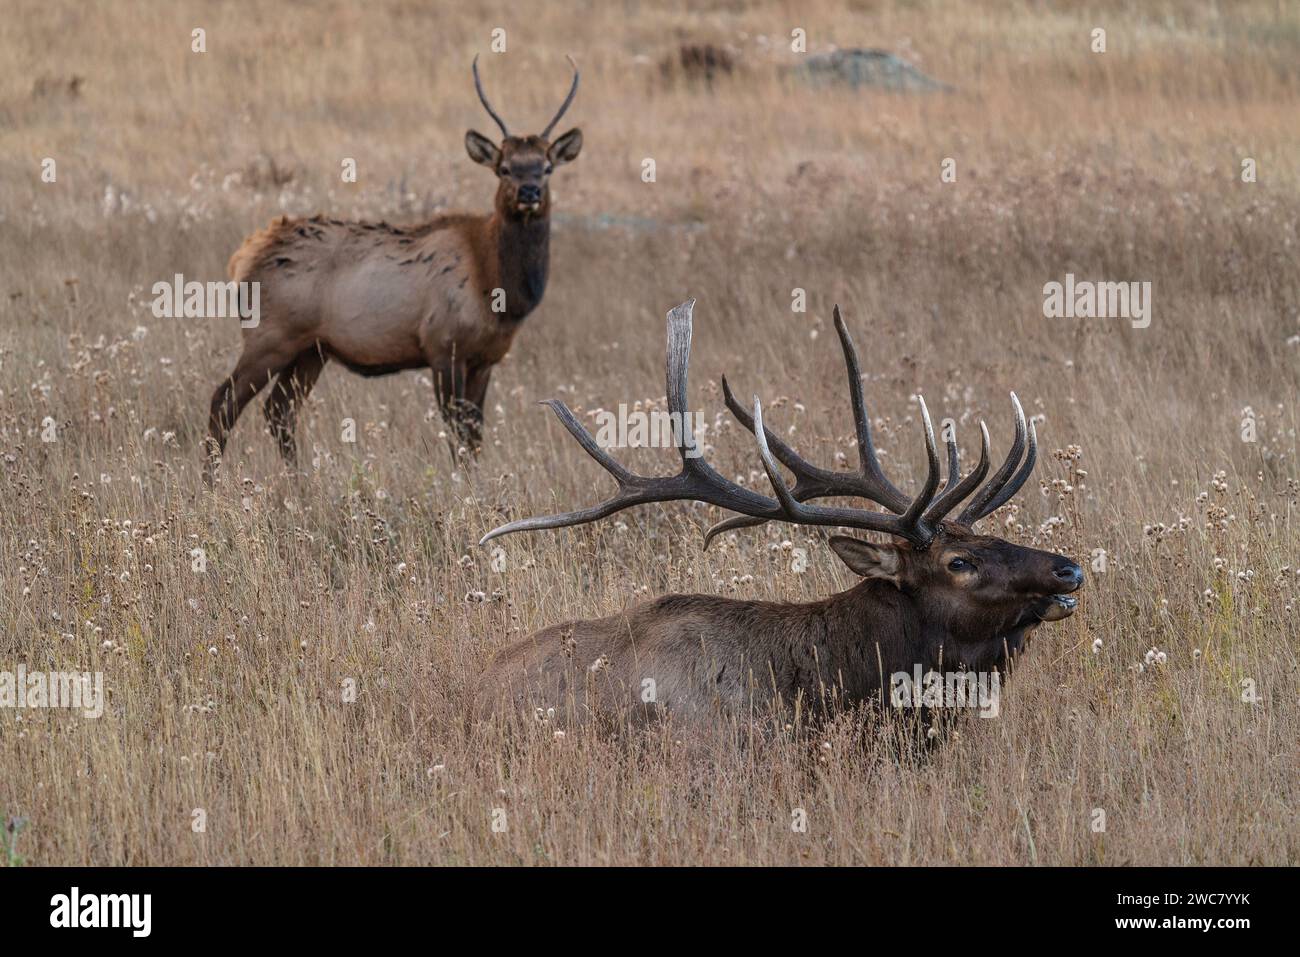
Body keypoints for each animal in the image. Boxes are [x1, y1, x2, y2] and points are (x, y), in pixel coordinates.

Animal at [202, 56, 583, 485]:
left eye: (547, 166)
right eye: (503, 168)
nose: (529, 191)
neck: (499, 291)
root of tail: (242, 257)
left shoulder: (486, 359)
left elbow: (476, 437)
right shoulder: (442, 345)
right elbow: (457, 435)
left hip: (311, 349)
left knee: (279, 410)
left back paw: (300, 484)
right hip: (270, 336)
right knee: (224, 400)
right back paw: (211, 483)